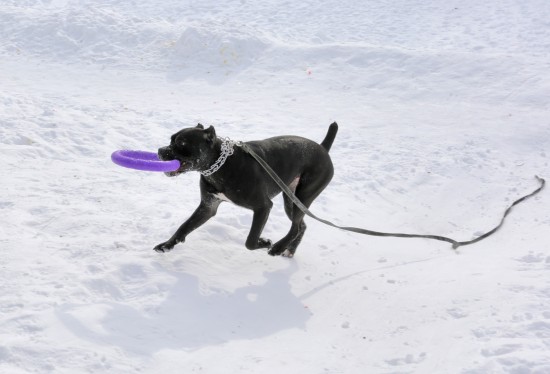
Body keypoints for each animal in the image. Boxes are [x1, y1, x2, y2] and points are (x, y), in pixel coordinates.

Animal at [155, 122, 340, 258]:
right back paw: (289, 250)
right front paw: (167, 245)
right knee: (301, 226)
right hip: (290, 199)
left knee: (295, 227)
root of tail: (323, 148)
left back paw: (278, 248)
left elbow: (250, 241)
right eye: (171, 140)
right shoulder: (208, 206)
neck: (220, 165)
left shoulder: (263, 207)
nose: (160, 150)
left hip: (303, 196)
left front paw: (264, 242)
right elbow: (184, 227)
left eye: (181, 143)